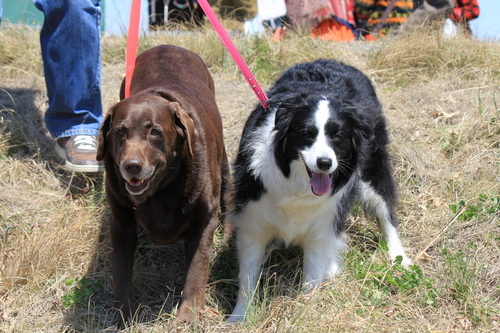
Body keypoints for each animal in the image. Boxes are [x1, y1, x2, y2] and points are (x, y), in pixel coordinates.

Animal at [96, 44, 229, 322]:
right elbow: (121, 270)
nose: (131, 166)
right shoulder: (120, 221)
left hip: (224, 163)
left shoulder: (204, 221)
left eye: (154, 132)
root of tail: (168, 45)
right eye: (120, 132)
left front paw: (188, 315)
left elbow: (196, 268)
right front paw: (124, 313)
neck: (160, 192)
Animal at [229, 58, 412, 320]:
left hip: (374, 165)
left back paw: (398, 256)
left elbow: (313, 274)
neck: (297, 184)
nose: (325, 163)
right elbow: (247, 275)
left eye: (338, 136)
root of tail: (336, 61)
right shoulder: (253, 218)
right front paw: (239, 317)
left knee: (386, 210)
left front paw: (304, 314)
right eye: (307, 134)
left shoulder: (321, 224)